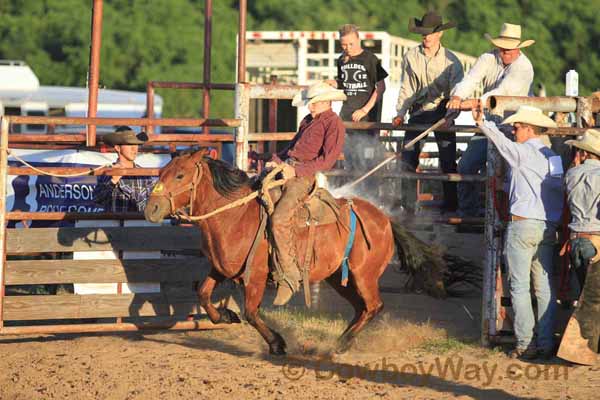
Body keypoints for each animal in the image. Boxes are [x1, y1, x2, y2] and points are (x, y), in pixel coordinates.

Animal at [144, 152, 446, 354]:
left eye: (180, 175)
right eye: (162, 173)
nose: (151, 209)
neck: (234, 215)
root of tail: (384, 219)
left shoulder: (255, 277)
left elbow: (252, 313)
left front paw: (277, 344)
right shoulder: (220, 269)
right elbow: (204, 294)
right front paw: (226, 316)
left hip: (364, 275)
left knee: (374, 306)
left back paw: (340, 346)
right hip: (340, 278)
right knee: (361, 308)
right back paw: (340, 342)